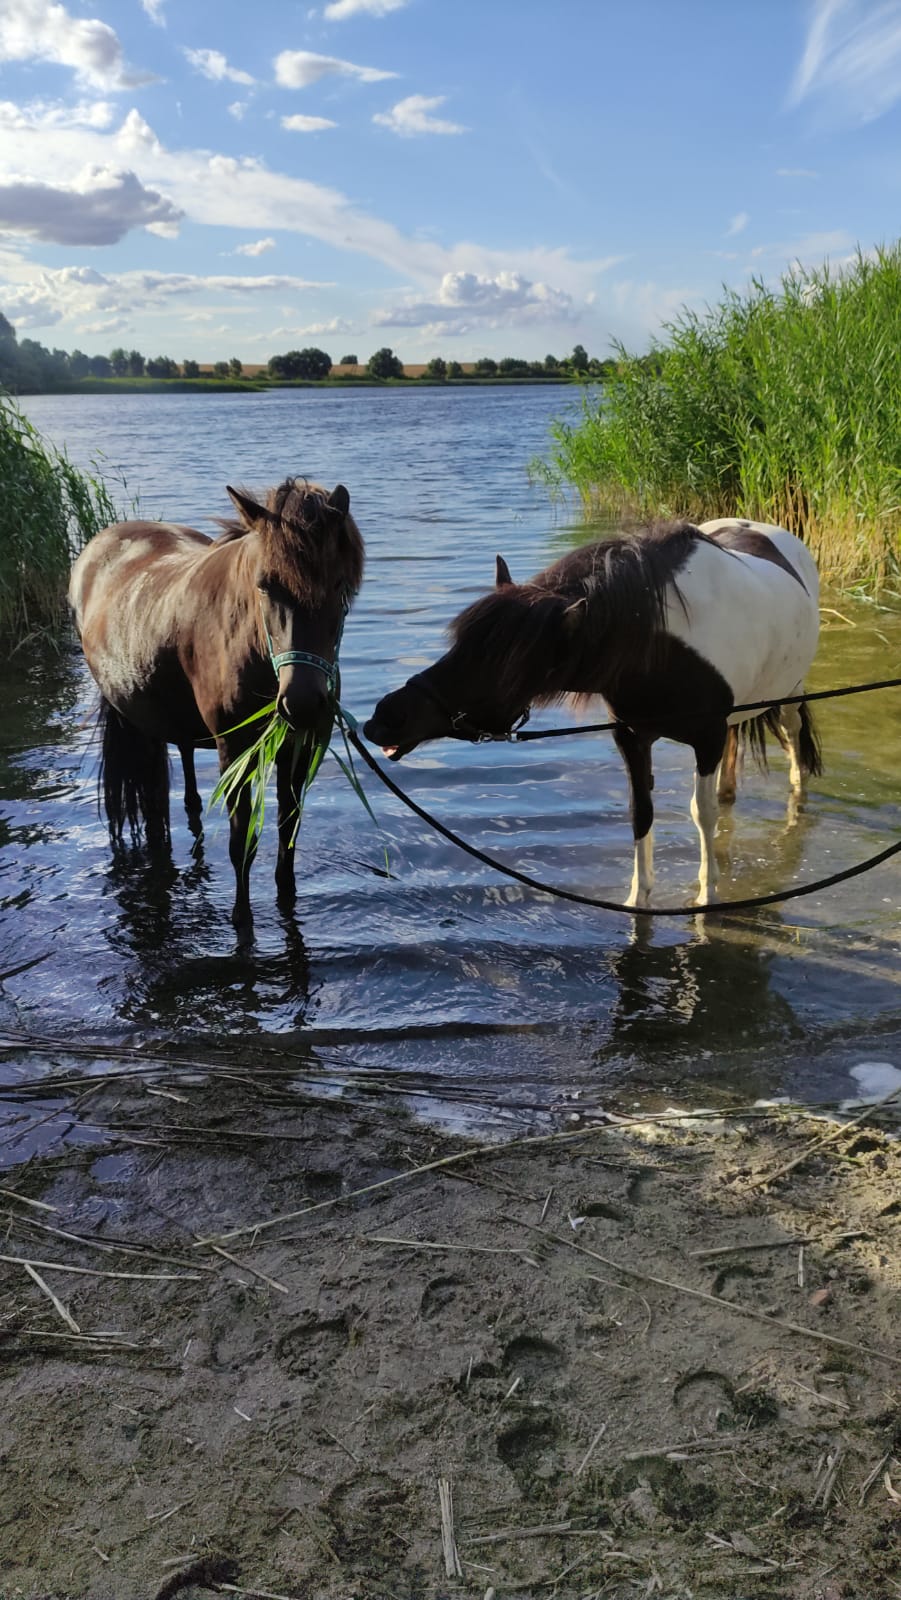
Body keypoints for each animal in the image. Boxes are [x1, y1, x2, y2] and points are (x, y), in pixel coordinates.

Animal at [69, 478, 365, 935]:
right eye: (265, 585)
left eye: (339, 586)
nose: (301, 702)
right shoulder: (236, 752)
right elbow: (242, 841)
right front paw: (242, 920)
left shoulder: (296, 751)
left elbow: (288, 831)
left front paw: (286, 900)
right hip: (135, 716)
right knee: (151, 801)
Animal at [363, 518, 822, 908]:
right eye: (458, 645)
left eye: (501, 668)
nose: (383, 720)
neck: (663, 647)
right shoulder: (632, 736)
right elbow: (641, 812)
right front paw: (638, 897)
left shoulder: (705, 738)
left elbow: (702, 815)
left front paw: (707, 897)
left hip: (790, 695)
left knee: (792, 737)